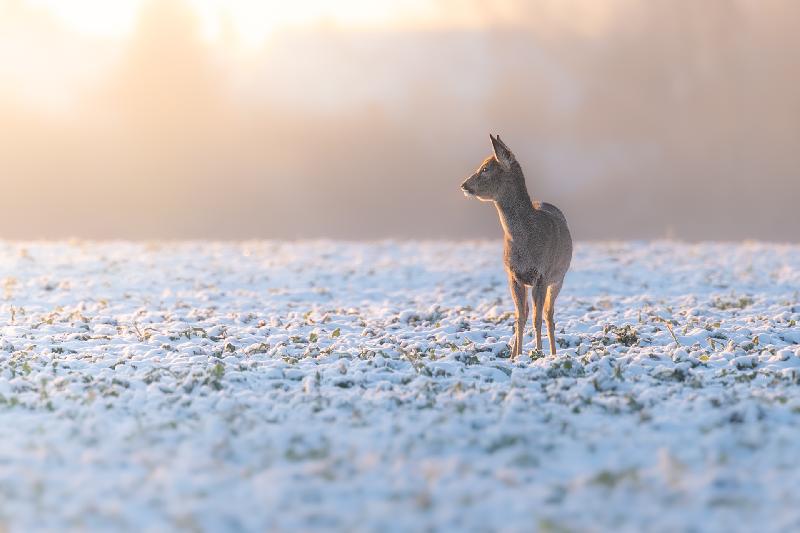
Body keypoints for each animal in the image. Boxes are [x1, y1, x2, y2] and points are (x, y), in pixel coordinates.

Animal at [461, 135, 572, 358]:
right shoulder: (513, 275)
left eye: (485, 168)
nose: (464, 185)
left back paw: (553, 353)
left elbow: (537, 318)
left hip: (558, 278)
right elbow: (519, 317)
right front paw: (515, 356)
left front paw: (538, 352)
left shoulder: (542, 274)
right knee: (528, 312)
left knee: (548, 315)